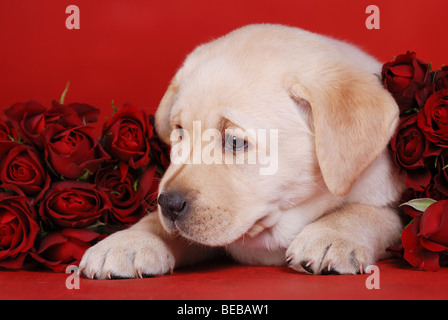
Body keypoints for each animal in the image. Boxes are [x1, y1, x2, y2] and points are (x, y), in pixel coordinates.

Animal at [79, 23, 404, 278]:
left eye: (234, 142)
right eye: (179, 132)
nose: (168, 204)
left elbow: (367, 212)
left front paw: (333, 235)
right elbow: (155, 223)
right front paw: (130, 240)